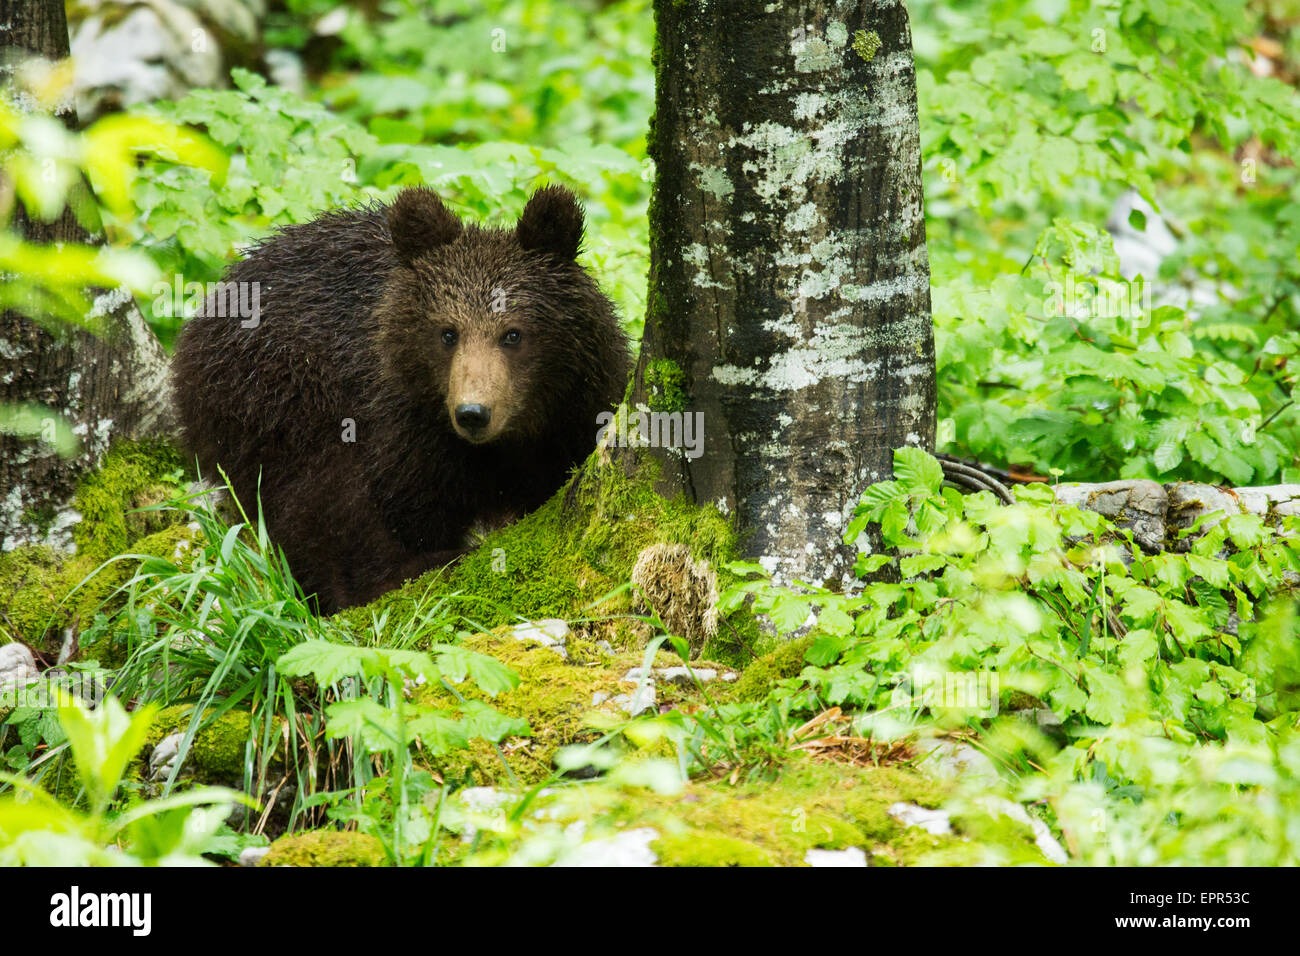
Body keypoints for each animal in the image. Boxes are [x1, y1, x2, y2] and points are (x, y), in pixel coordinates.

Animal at [171, 185, 630, 613]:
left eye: (513, 334)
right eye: (448, 333)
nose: (473, 413)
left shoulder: (577, 413)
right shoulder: (403, 431)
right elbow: (386, 512)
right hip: (273, 398)